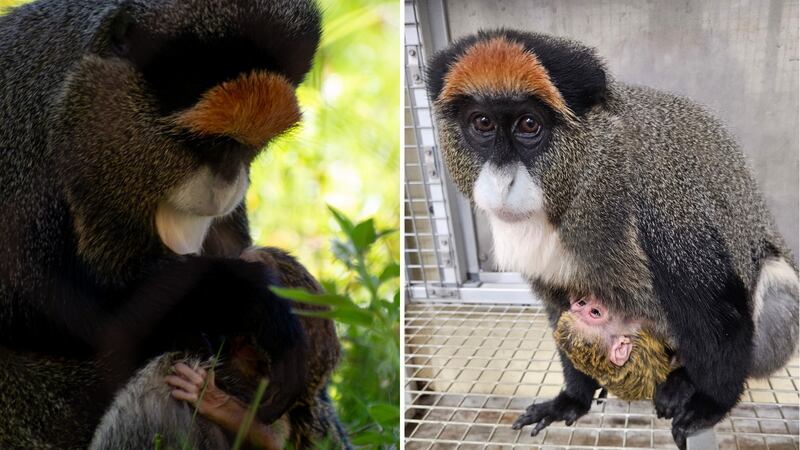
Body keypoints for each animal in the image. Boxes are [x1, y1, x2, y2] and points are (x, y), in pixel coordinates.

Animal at [425, 29, 799, 449]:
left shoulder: (664, 204)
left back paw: (685, 381)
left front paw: (710, 405)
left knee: (773, 286)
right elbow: (560, 311)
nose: (502, 182)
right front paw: (573, 398)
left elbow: (718, 313)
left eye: (529, 125)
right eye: (483, 123)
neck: (587, 172)